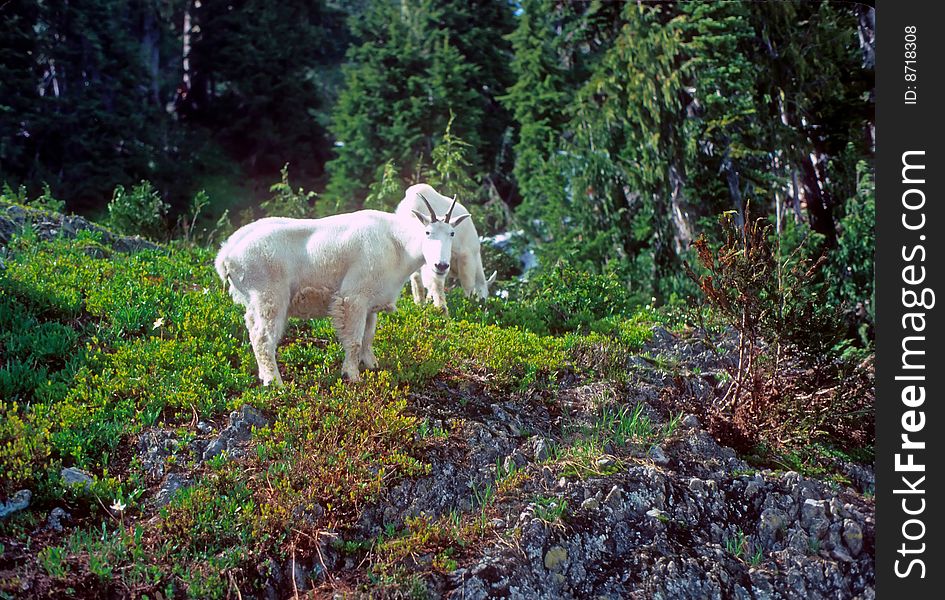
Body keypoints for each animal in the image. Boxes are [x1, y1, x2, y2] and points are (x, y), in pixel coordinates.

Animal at [213, 195, 464, 386]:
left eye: (452, 233)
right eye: (428, 232)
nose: (441, 265)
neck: (397, 245)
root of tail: (227, 254)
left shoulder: (371, 303)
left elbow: (368, 336)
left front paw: (372, 365)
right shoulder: (353, 297)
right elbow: (354, 340)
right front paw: (352, 375)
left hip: (255, 300)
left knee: (252, 328)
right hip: (269, 295)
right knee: (263, 338)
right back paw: (275, 382)